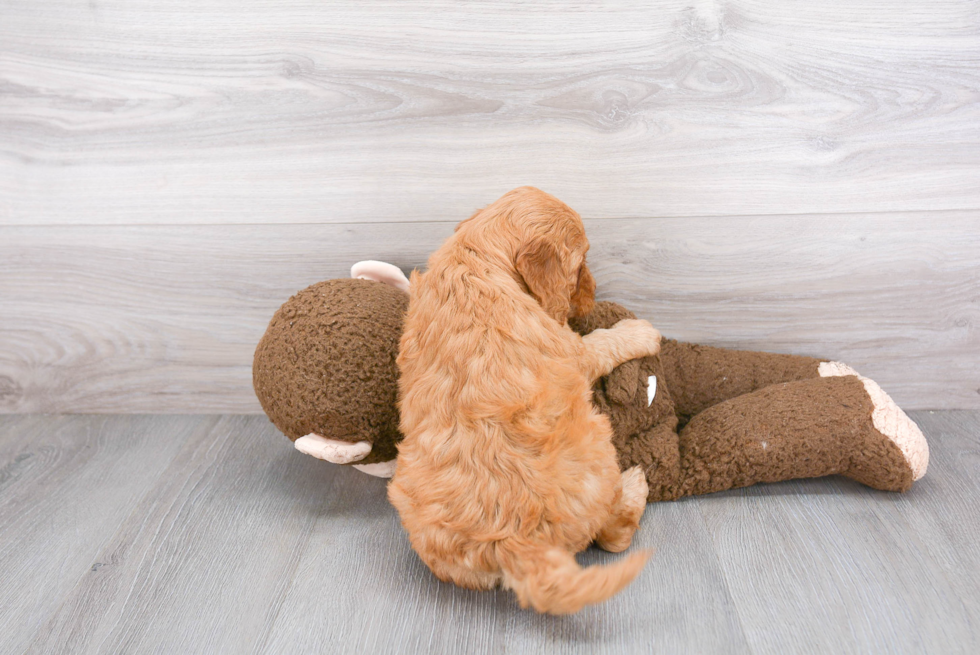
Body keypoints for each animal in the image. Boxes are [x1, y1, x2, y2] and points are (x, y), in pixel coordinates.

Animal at [386, 186, 664, 616]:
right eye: (580, 264)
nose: (595, 292)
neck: (476, 258)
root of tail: (514, 541)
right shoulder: (573, 350)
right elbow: (603, 342)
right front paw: (640, 332)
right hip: (598, 443)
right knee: (614, 535)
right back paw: (635, 484)